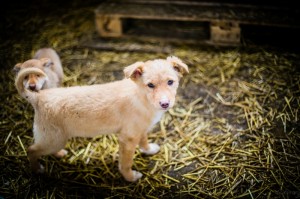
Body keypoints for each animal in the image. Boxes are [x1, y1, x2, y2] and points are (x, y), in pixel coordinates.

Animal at [15, 55, 189, 182]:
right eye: (150, 85)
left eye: (170, 82)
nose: (165, 104)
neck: (142, 98)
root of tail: (38, 96)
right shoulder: (128, 138)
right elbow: (126, 163)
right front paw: (130, 177)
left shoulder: (140, 130)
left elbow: (144, 140)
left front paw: (148, 149)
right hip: (52, 138)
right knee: (31, 150)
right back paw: (37, 169)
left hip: (55, 138)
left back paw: (59, 154)